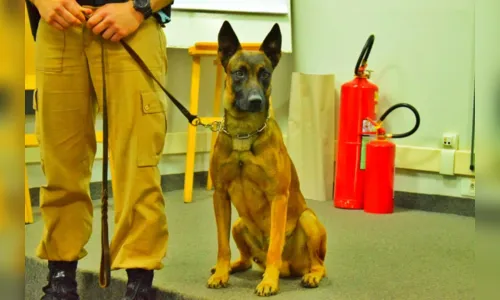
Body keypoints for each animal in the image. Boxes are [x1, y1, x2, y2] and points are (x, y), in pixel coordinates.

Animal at [207, 21, 328, 298]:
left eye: (265, 74)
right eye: (239, 73)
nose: (256, 101)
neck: (244, 135)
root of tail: (291, 268)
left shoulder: (278, 198)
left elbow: (275, 244)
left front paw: (269, 282)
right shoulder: (220, 196)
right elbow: (221, 245)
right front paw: (220, 274)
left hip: (308, 219)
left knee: (318, 263)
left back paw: (309, 276)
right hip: (238, 223)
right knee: (244, 259)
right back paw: (230, 267)